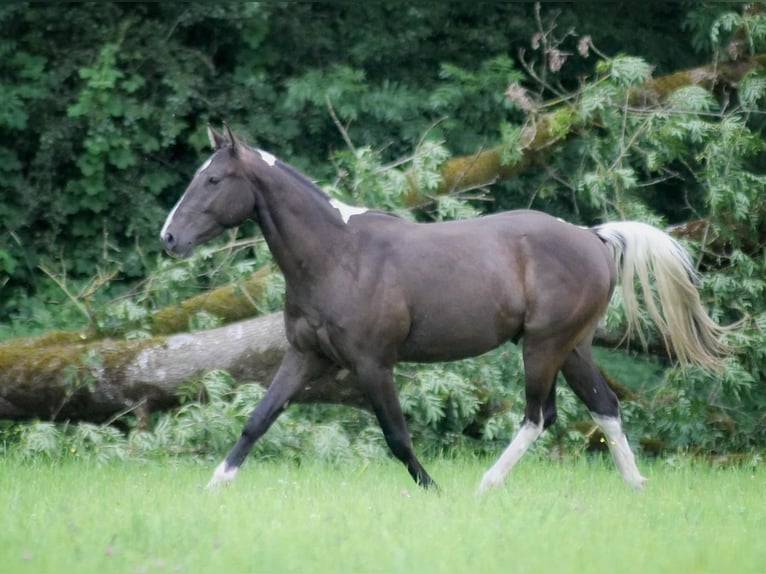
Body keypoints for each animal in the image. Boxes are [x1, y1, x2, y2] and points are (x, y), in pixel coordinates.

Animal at [161, 124, 729, 492]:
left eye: (213, 180)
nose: (169, 239)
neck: (338, 256)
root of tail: (591, 235)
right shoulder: (305, 355)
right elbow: (257, 420)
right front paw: (214, 486)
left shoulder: (373, 363)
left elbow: (397, 437)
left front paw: (433, 490)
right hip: (572, 348)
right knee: (604, 407)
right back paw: (635, 485)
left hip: (543, 346)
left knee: (538, 416)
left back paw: (485, 485)